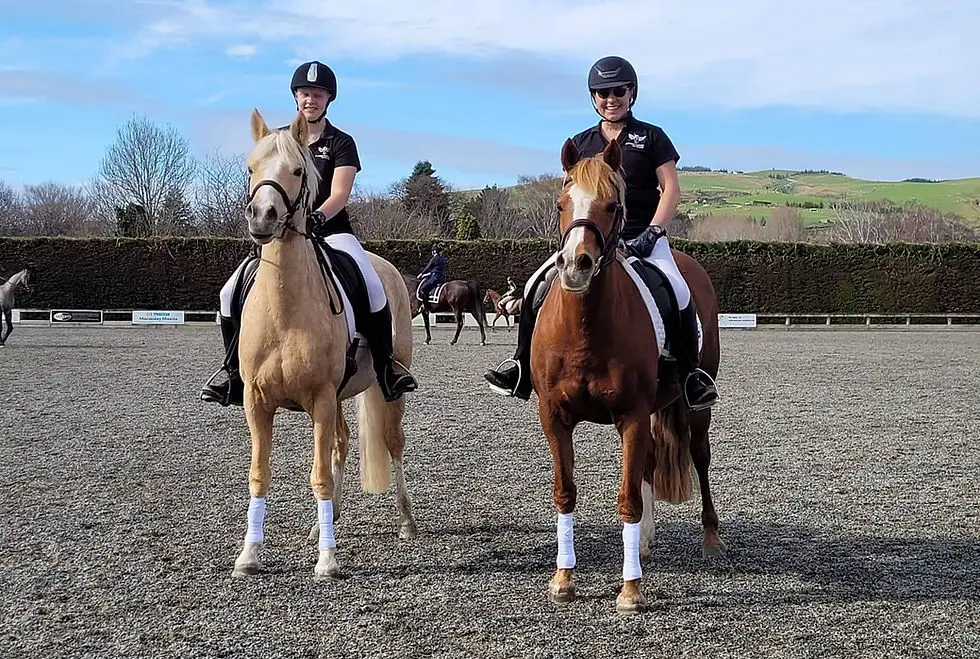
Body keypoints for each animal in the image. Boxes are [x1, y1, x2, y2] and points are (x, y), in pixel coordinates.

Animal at [530, 138, 725, 614]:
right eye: (561, 204)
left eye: (611, 205)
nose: (576, 266)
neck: (585, 329)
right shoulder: (554, 417)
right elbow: (566, 492)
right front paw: (563, 579)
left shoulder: (632, 416)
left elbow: (628, 499)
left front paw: (631, 589)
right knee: (652, 460)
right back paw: (648, 542)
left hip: (694, 408)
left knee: (700, 456)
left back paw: (711, 538)